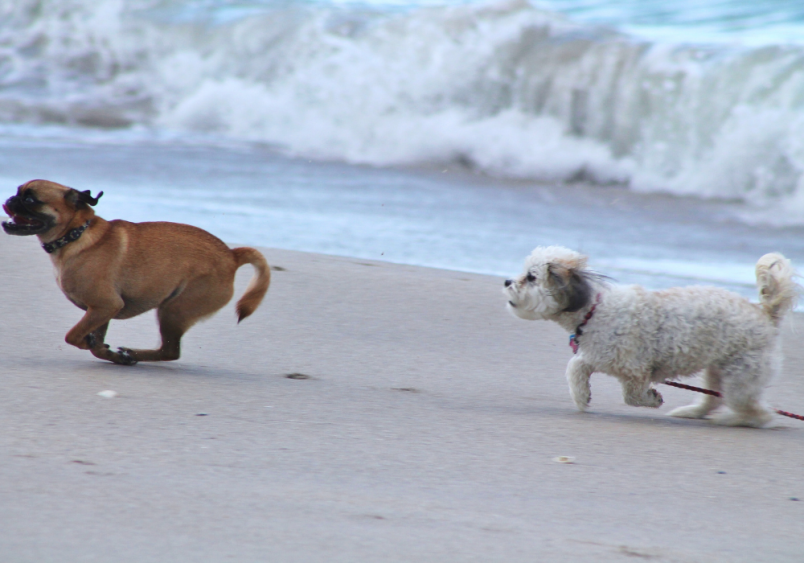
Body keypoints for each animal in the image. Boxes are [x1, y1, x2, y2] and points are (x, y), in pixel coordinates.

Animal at [1, 178, 272, 368]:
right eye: (18, 192)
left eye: (31, 200)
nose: (10, 199)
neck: (76, 235)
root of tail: (232, 255)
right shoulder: (101, 312)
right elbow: (94, 344)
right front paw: (108, 353)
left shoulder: (104, 306)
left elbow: (73, 335)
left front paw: (96, 345)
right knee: (168, 350)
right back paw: (128, 354)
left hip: (173, 310)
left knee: (170, 351)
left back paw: (133, 352)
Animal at [502, 247, 796, 428]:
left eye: (531, 277)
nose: (506, 281)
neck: (594, 309)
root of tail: (765, 314)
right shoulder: (595, 354)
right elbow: (575, 367)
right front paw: (582, 396)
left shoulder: (634, 369)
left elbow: (632, 395)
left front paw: (651, 399)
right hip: (718, 368)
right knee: (714, 398)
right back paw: (692, 412)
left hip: (741, 376)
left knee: (759, 413)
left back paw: (735, 420)